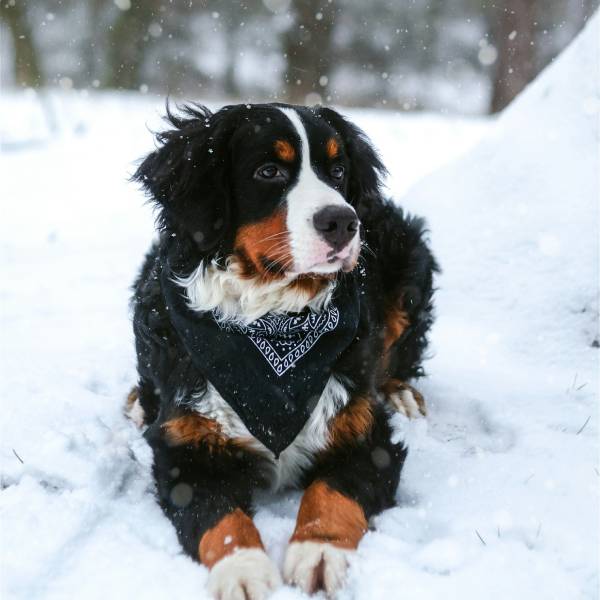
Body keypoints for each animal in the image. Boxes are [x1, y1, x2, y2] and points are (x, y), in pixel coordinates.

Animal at [127, 104, 436, 600]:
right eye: (268, 171)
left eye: (337, 170)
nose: (342, 221)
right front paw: (241, 569)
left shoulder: (366, 433)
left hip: (408, 257)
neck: (274, 318)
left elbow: (332, 493)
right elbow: (220, 518)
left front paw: (319, 551)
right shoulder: (185, 451)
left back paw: (401, 392)